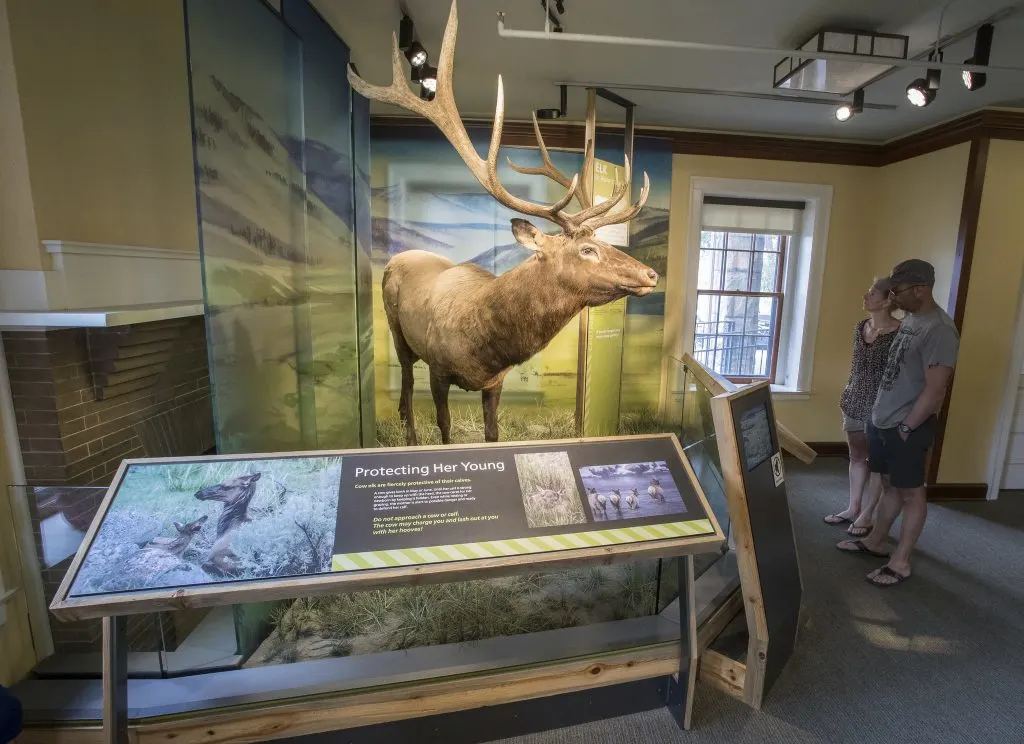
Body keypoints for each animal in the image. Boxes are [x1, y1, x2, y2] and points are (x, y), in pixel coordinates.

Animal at [350, 0, 655, 442]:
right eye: (587, 249)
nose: (651, 274)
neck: (486, 346)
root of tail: (397, 257)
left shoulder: (496, 382)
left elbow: (493, 434)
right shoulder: (439, 370)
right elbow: (445, 427)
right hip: (398, 331)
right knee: (406, 383)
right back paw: (408, 437)